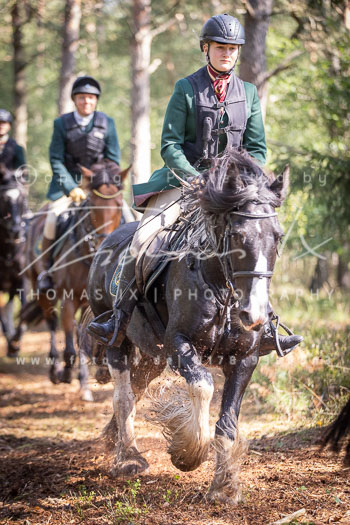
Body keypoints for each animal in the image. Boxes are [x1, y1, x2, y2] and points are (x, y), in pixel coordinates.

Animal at [22, 162, 131, 382]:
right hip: (42, 291)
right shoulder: (69, 298)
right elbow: (69, 335)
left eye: (118, 205)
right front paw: (67, 371)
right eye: (92, 206)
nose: (103, 245)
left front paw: (97, 372)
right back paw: (56, 369)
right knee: (52, 322)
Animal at [86, 149, 288, 502]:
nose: (255, 315)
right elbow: (203, 385)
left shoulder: (244, 358)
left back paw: (114, 440)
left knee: (136, 388)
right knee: (123, 395)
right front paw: (188, 452)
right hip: (118, 341)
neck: (222, 289)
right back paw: (128, 458)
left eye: (277, 237)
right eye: (237, 236)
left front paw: (224, 486)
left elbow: (228, 423)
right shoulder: (178, 343)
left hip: (152, 355)